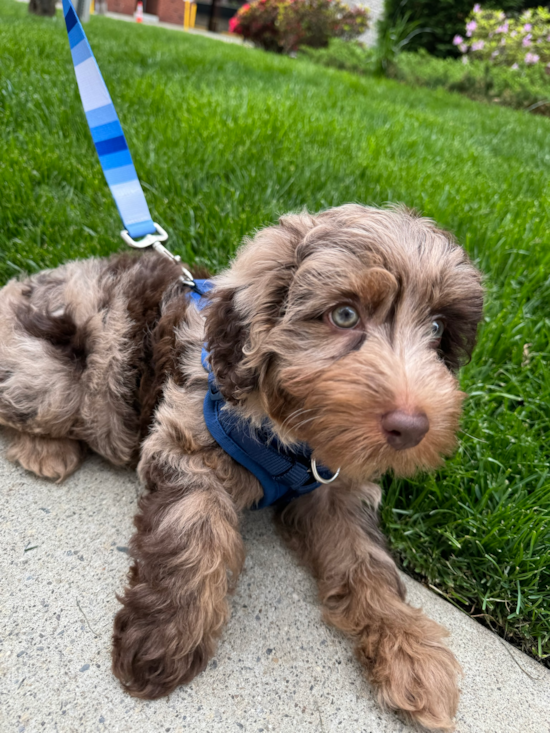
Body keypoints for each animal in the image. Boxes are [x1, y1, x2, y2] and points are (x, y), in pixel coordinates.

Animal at [0, 203, 484, 728]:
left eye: (437, 329)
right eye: (344, 315)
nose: (413, 427)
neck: (293, 439)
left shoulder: (338, 490)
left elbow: (367, 562)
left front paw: (411, 652)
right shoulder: (186, 449)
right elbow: (192, 534)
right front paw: (163, 637)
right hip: (53, 383)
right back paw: (44, 450)